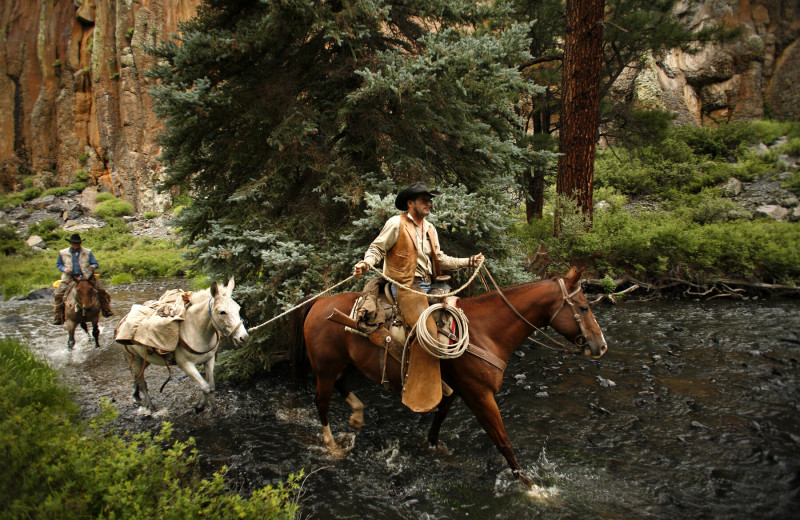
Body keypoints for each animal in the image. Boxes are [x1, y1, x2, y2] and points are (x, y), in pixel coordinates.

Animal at [290, 266, 608, 490]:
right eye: (583, 307)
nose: (601, 346)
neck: (485, 331)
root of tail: (318, 303)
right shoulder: (480, 395)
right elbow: (502, 441)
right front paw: (531, 487)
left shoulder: (453, 389)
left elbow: (438, 420)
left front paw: (436, 448)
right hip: (325, 368)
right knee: (321, 402)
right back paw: (332, 445)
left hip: (344, 364)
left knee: (341, 386)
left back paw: (357, 415)